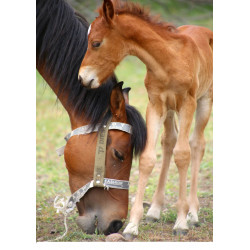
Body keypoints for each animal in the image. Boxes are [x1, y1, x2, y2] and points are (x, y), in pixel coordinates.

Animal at [78, 0, 213, 238]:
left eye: (96, 43)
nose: (83, 78)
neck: (168, 60)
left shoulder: (188, 103)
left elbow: (183, 154)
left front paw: (181, 222)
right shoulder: (156, 105)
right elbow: (149, 158)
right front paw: (132, 225)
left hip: (205, 100)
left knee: (197, 144)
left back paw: (193, 213)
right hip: (170, 110)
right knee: (169, 141)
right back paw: (155, 210)